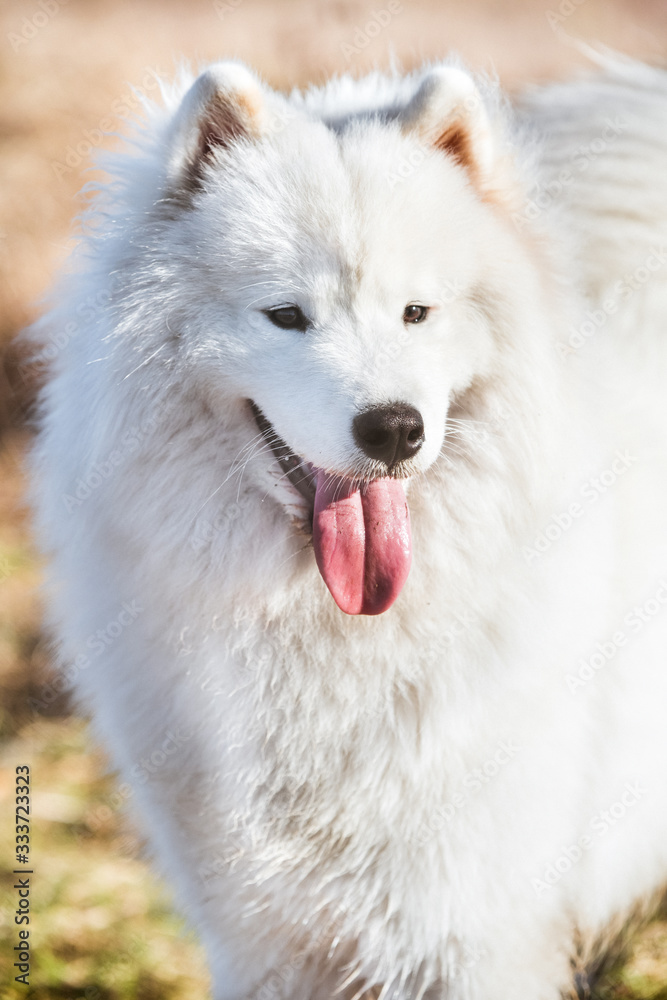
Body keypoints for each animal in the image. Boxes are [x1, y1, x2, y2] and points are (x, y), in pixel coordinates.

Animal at [32, 54, 667, 1000]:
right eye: (287, 315)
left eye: (416, 312)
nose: (393, 429)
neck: (327, 634)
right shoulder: (269, 942)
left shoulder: (473, 937)